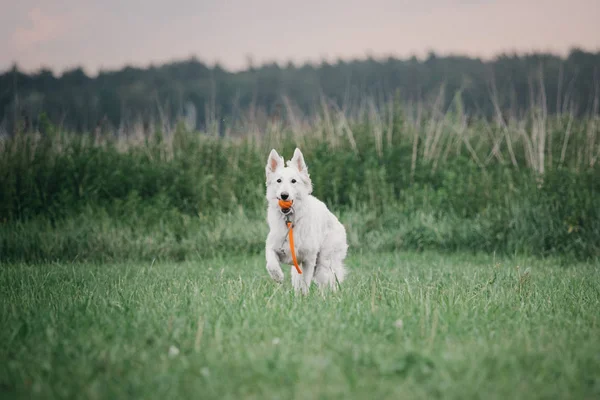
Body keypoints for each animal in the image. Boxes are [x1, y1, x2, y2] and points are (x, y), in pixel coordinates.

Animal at [264, 148, 346, 292]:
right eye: (278, 180)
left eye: (293, 181)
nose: (284, 195)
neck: (290, 221)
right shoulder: (273, 247)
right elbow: (271, 263)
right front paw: (278, 276)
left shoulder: (308, 259)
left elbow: (305, 282)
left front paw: (304, 296)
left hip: (324, 263)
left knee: (328, 282)